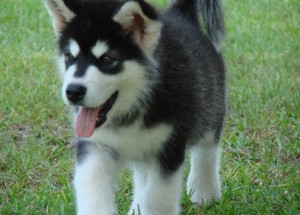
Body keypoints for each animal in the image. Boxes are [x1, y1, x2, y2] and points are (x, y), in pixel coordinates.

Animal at [45, 0, 225, 213]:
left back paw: (204, 192)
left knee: (207, 151)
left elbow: (156, 198)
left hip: (210, 109)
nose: (73, 92)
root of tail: (180, 15)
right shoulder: (97, 145)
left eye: (107, 59)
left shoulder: (168, 149)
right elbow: (93, 187)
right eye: (69, 57)